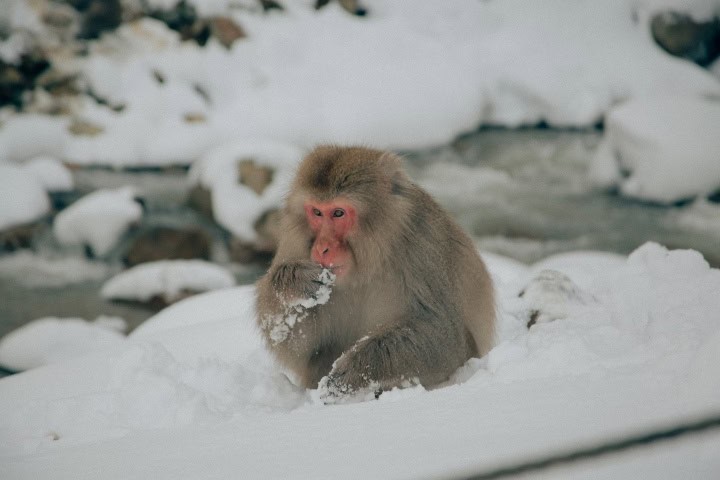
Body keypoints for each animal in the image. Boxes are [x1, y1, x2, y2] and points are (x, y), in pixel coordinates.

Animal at [256, 146, 498, 402]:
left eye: (338, 213)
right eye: (317, 213)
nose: (322, 248)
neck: (368, 261)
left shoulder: (424, 242)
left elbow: (444, 335)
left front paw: (353, 372)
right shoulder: (294, 242)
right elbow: (299, 347)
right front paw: (294, 284)